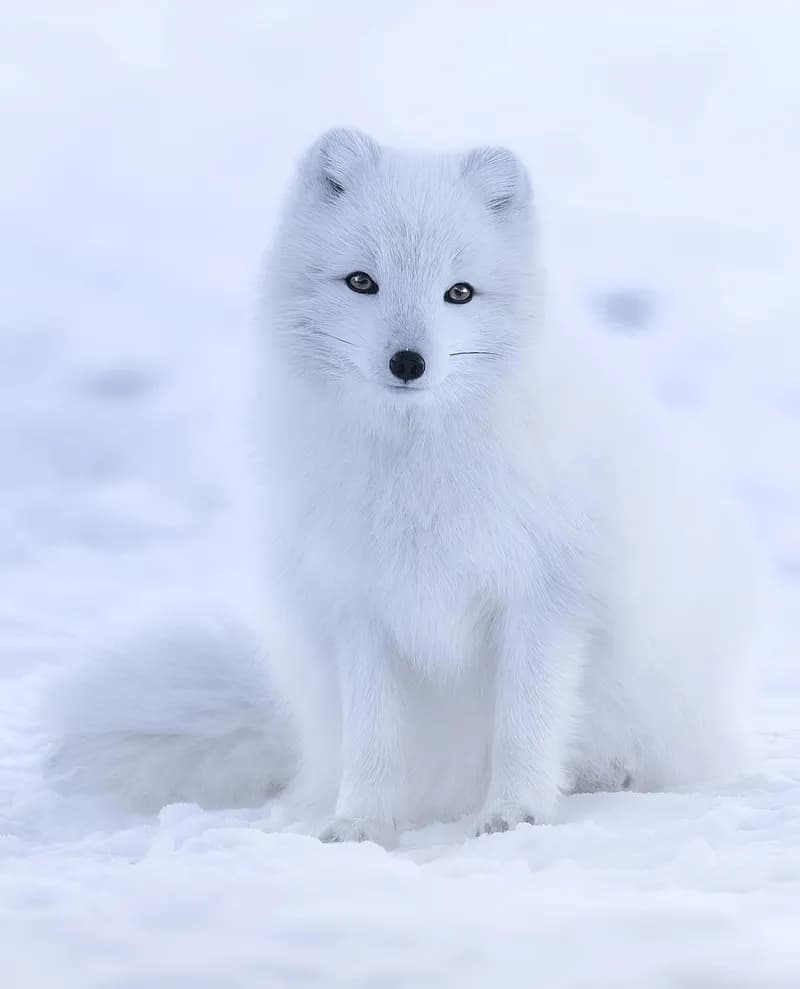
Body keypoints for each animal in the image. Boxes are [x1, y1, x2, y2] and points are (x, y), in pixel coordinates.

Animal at [45, 128, 757, 846]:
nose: (408, 362)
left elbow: (525, 724)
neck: (416, 470)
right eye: (363, 281)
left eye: (459, 293)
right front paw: (360, 823)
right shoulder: (359, 606)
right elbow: (374, 740)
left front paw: (515, 814)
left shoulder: (543, 596)